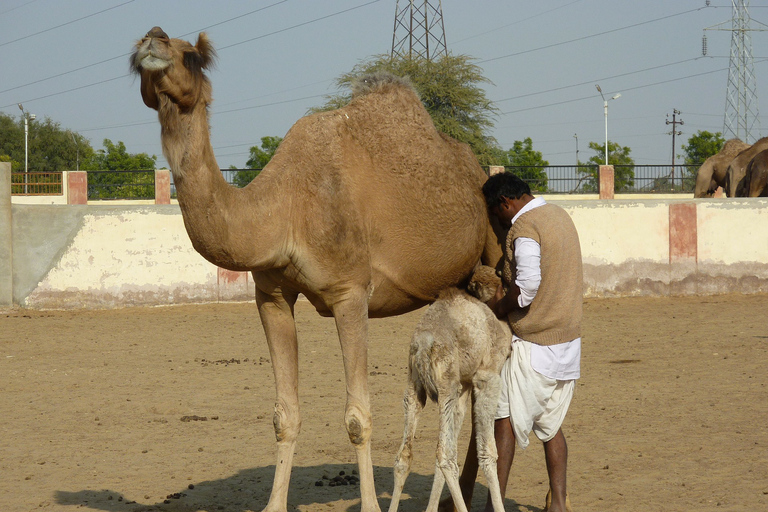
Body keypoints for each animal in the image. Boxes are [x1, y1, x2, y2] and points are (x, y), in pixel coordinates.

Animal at [390, 266, 510, 512]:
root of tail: (424, 344)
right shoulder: (487, 377)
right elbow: (488, 452)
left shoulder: (464, 386)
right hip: (447, 385)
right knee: (446, 457)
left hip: (415, 386)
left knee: (405, 455)